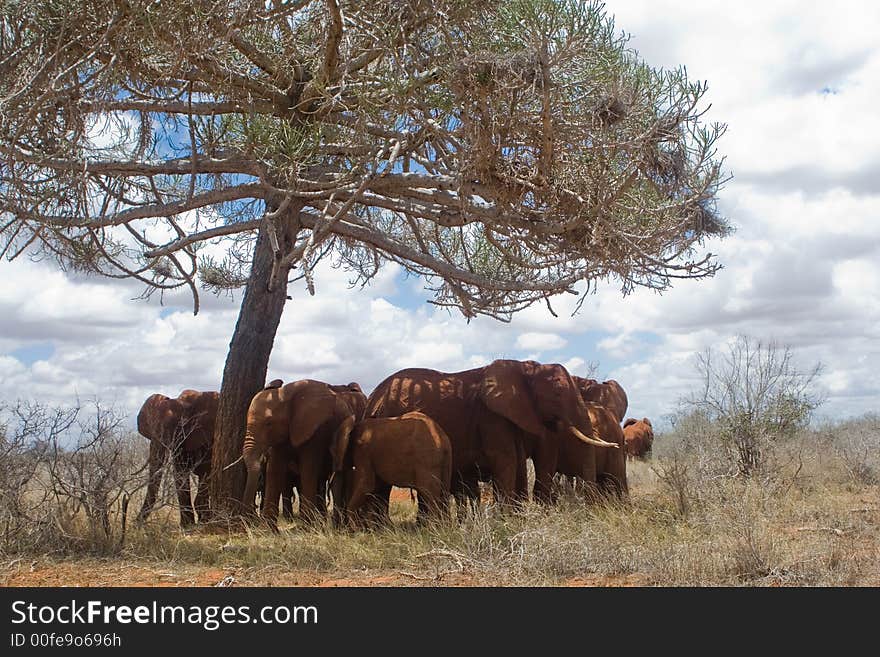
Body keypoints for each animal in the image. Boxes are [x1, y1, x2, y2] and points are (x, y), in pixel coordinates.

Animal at [138, 386, 222, 524]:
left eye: (178, 428)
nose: (135, 525)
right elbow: (180, 472)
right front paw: (188, 525)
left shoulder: (210, 437)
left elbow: (207, 470)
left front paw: (203, 520)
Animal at [364, 358, 620, 508]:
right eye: (557, 392)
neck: (525, 367)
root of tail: (372, 396)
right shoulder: (491, 416)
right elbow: (506, 460)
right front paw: (507, 521)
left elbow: (519, 461)